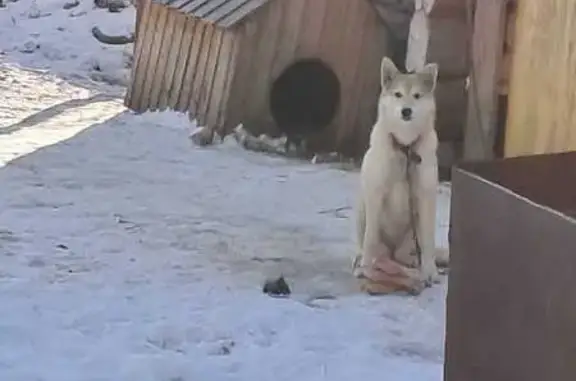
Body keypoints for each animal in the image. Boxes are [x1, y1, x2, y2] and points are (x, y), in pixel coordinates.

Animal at [354, 56, 448, 294]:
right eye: (397, 94)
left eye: (416, 96)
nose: (406, 111)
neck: (405, 147)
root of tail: (393, 252)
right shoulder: (375, 194)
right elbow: (370, 238)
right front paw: (366, 267)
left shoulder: (425, 197)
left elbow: (428, 242)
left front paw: (430, 272)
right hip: (362, 212)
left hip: (411, 233)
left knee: (410, 252)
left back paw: (413, 263)